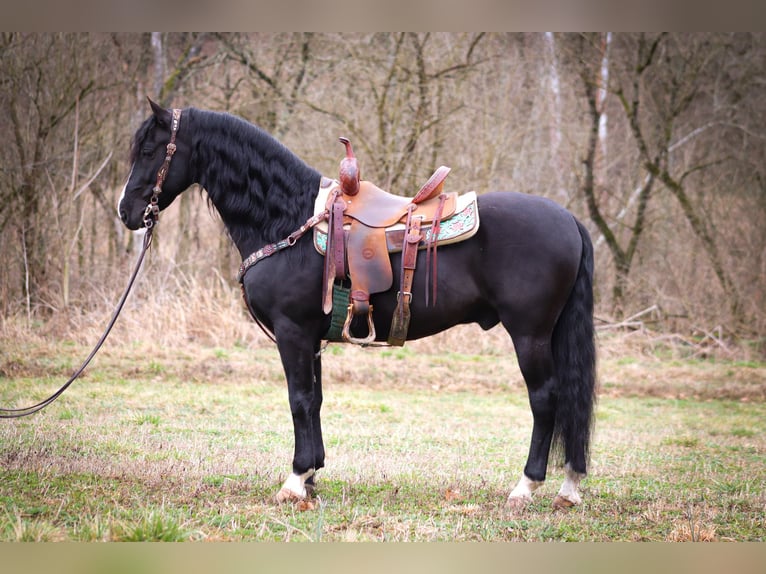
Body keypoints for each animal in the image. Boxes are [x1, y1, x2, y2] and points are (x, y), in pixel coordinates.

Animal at [120, 101, 600, 510]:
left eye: (149, 149)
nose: (127, 211)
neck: (287, 218)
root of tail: (569, 219)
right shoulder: (311, 338)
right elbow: (314, 400)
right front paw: (312, 476)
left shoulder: (292, 332)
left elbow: (298, 399)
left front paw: (294, 481)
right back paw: (569, 487)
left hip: (530, 334)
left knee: (546, 400)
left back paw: (526, 487)